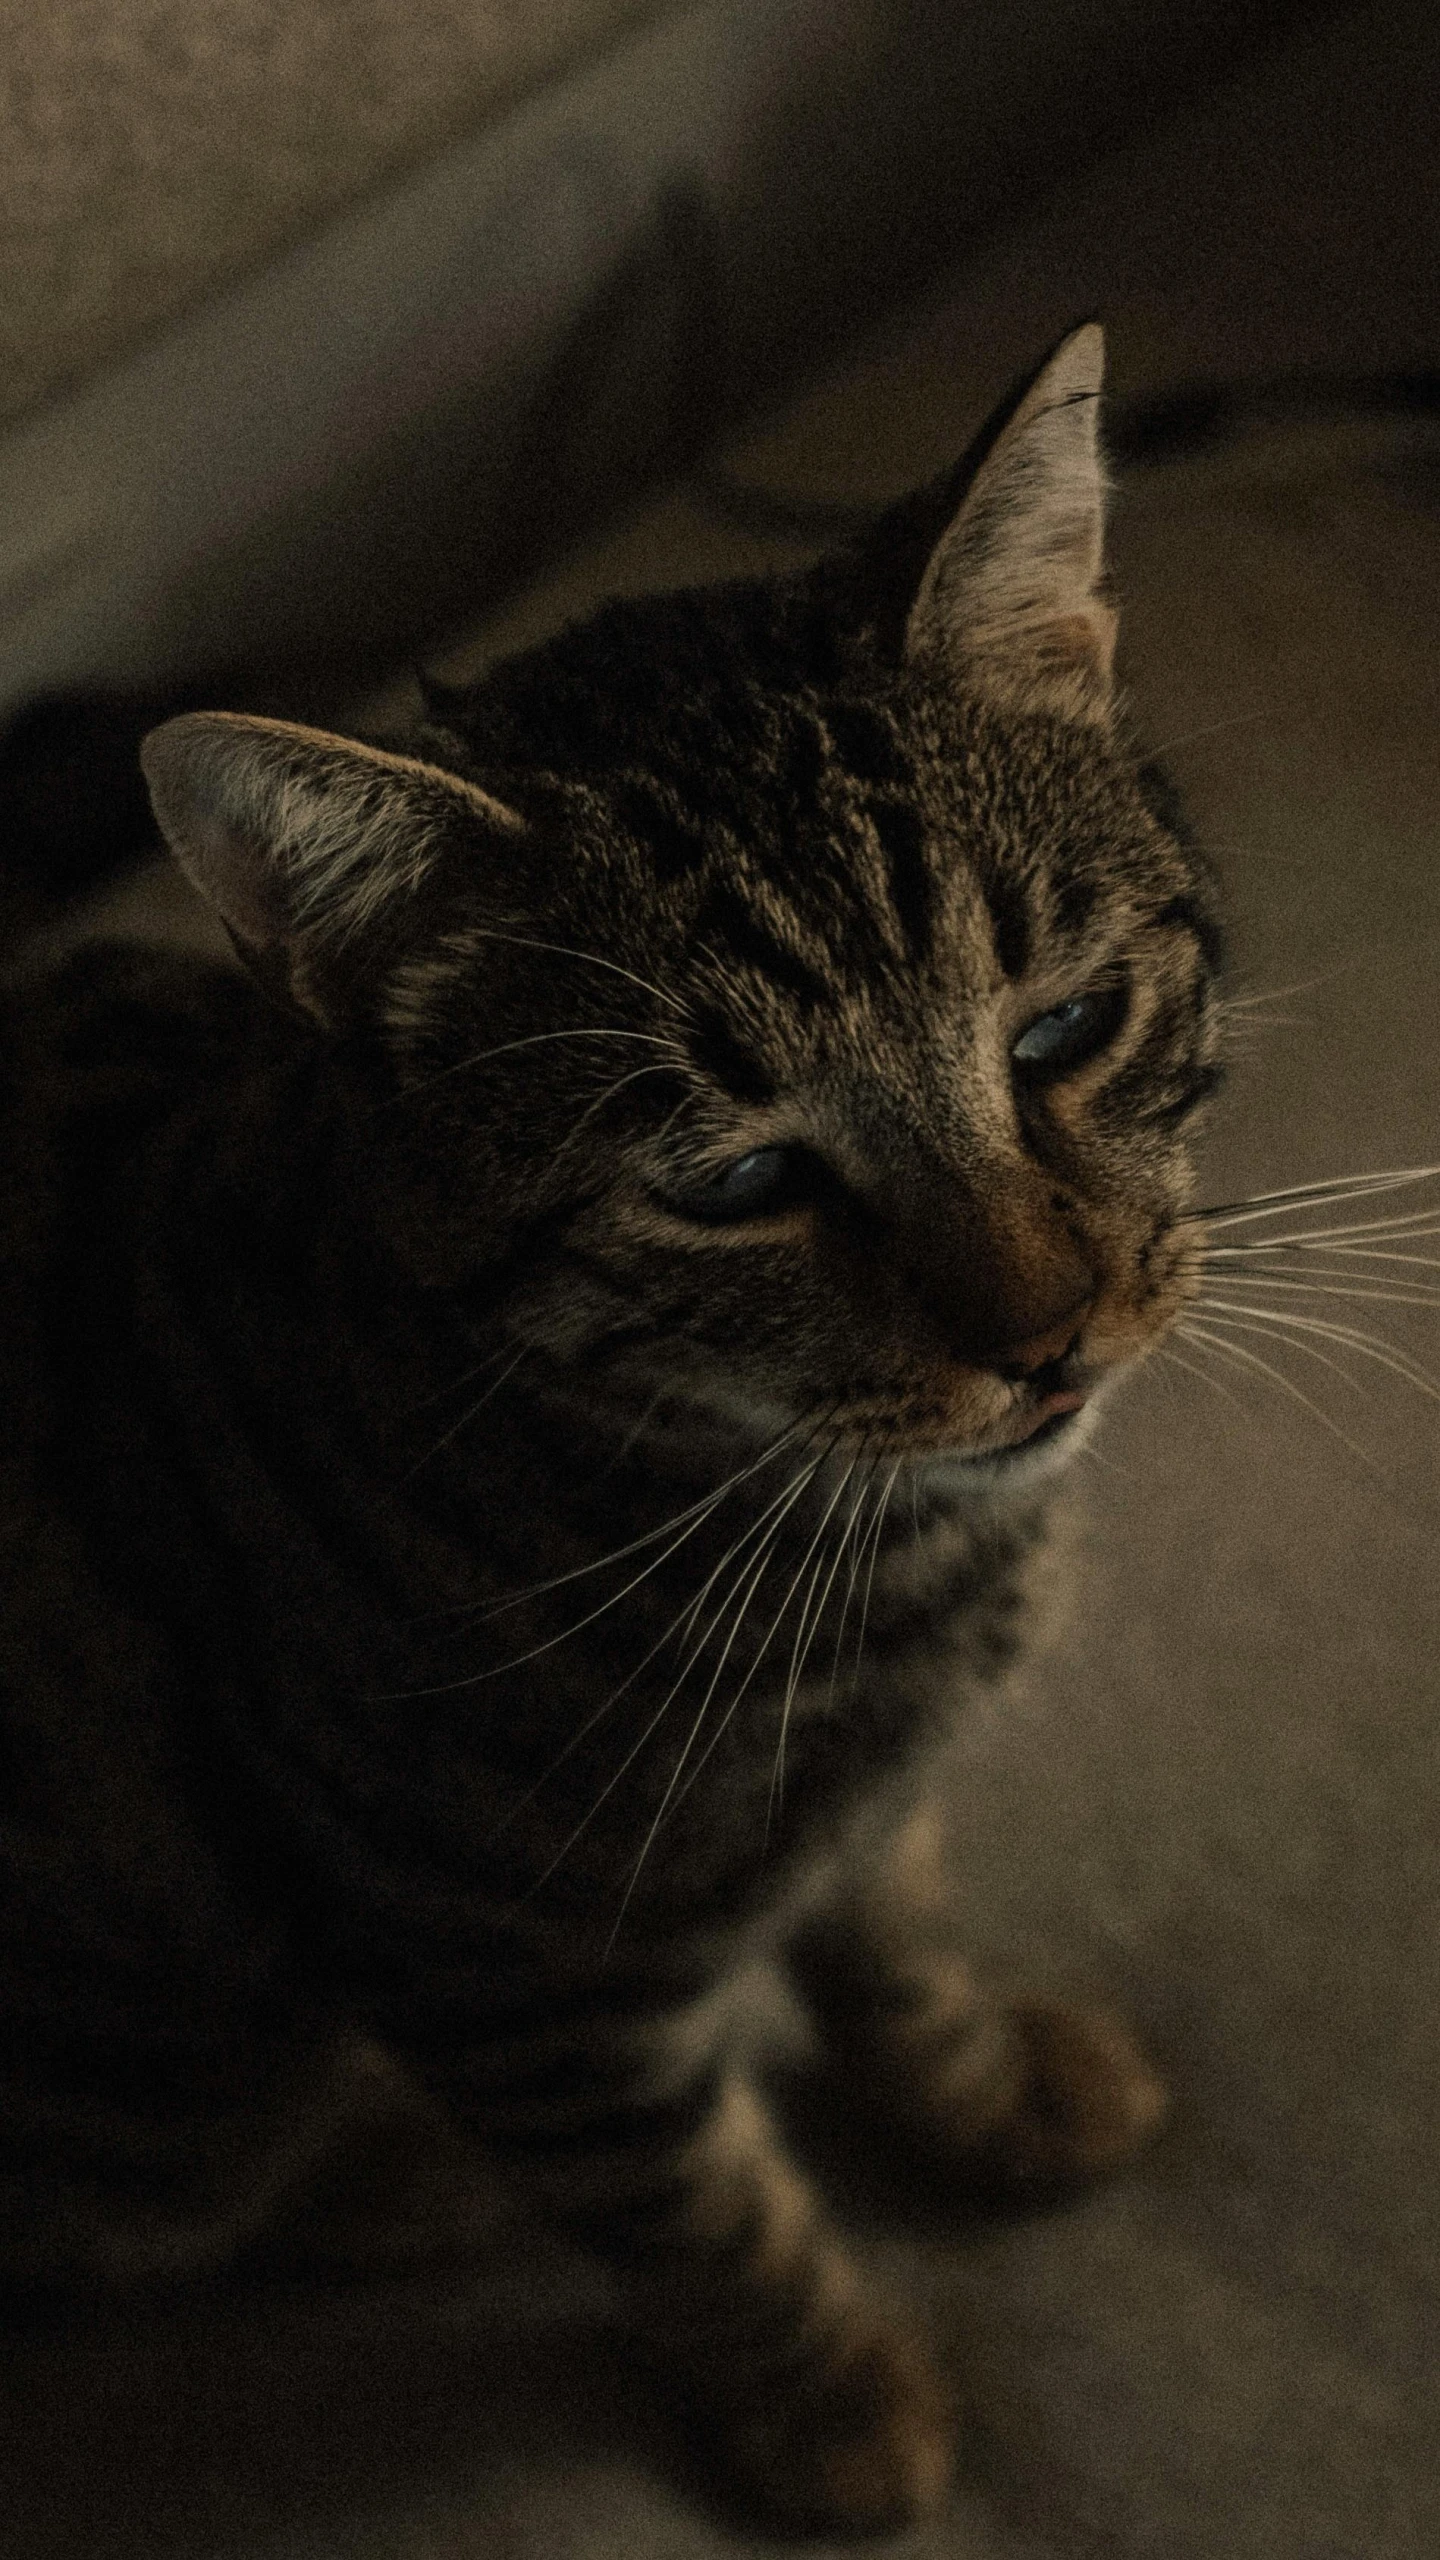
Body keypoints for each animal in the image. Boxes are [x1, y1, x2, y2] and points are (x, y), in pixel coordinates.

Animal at [0, 330, 1214, 2529]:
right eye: (733, 1183)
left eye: (1066, 1029)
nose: (1046, 1337)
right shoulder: (517, 1981)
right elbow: (704, 2219)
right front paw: (835, 2406)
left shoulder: (863, 1812)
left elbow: (898, 1950)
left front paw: (978, 2086)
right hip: (170, 2061)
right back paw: (388, 2173)